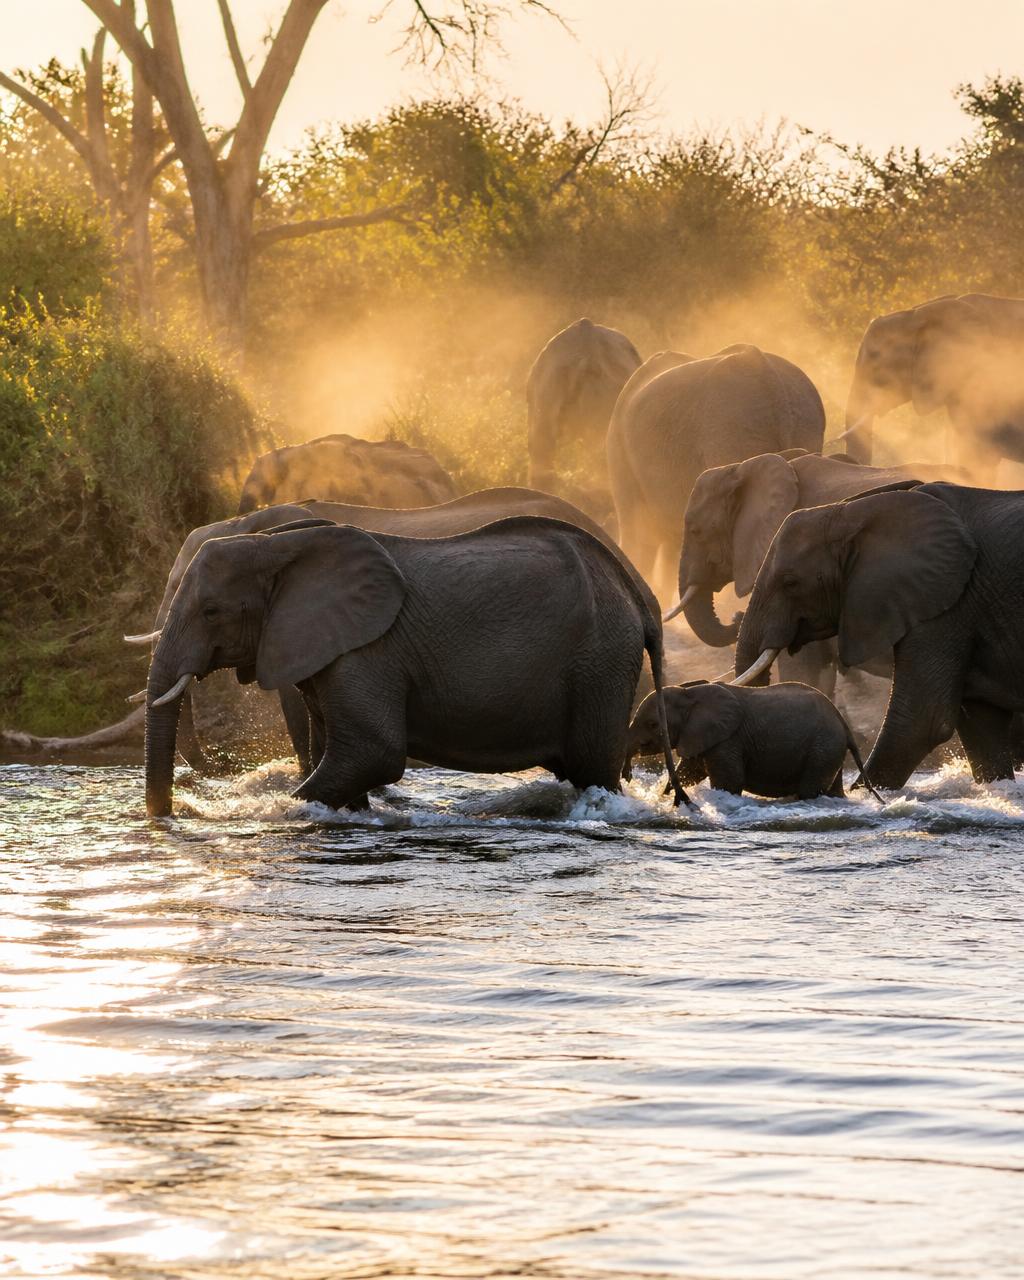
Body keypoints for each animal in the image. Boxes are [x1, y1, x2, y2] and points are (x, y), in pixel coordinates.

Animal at [143, 516, 686, 817]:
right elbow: (336, 756)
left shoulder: (369, 651)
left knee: (593, 769)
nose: (169, 819)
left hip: (600, 662)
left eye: (210, 611)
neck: (272, 544)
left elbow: (374, 753)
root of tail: (639, 597)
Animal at [623, 679, 877, 801]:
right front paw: (666, 797)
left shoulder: (728, 740)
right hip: (830, 748)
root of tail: (842, 720)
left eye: (653, 724)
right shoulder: (702, 735)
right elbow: (689, 772)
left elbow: (729, 783)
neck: (689, 693)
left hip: (823, 747)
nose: (627, 777)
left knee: (809, 789)